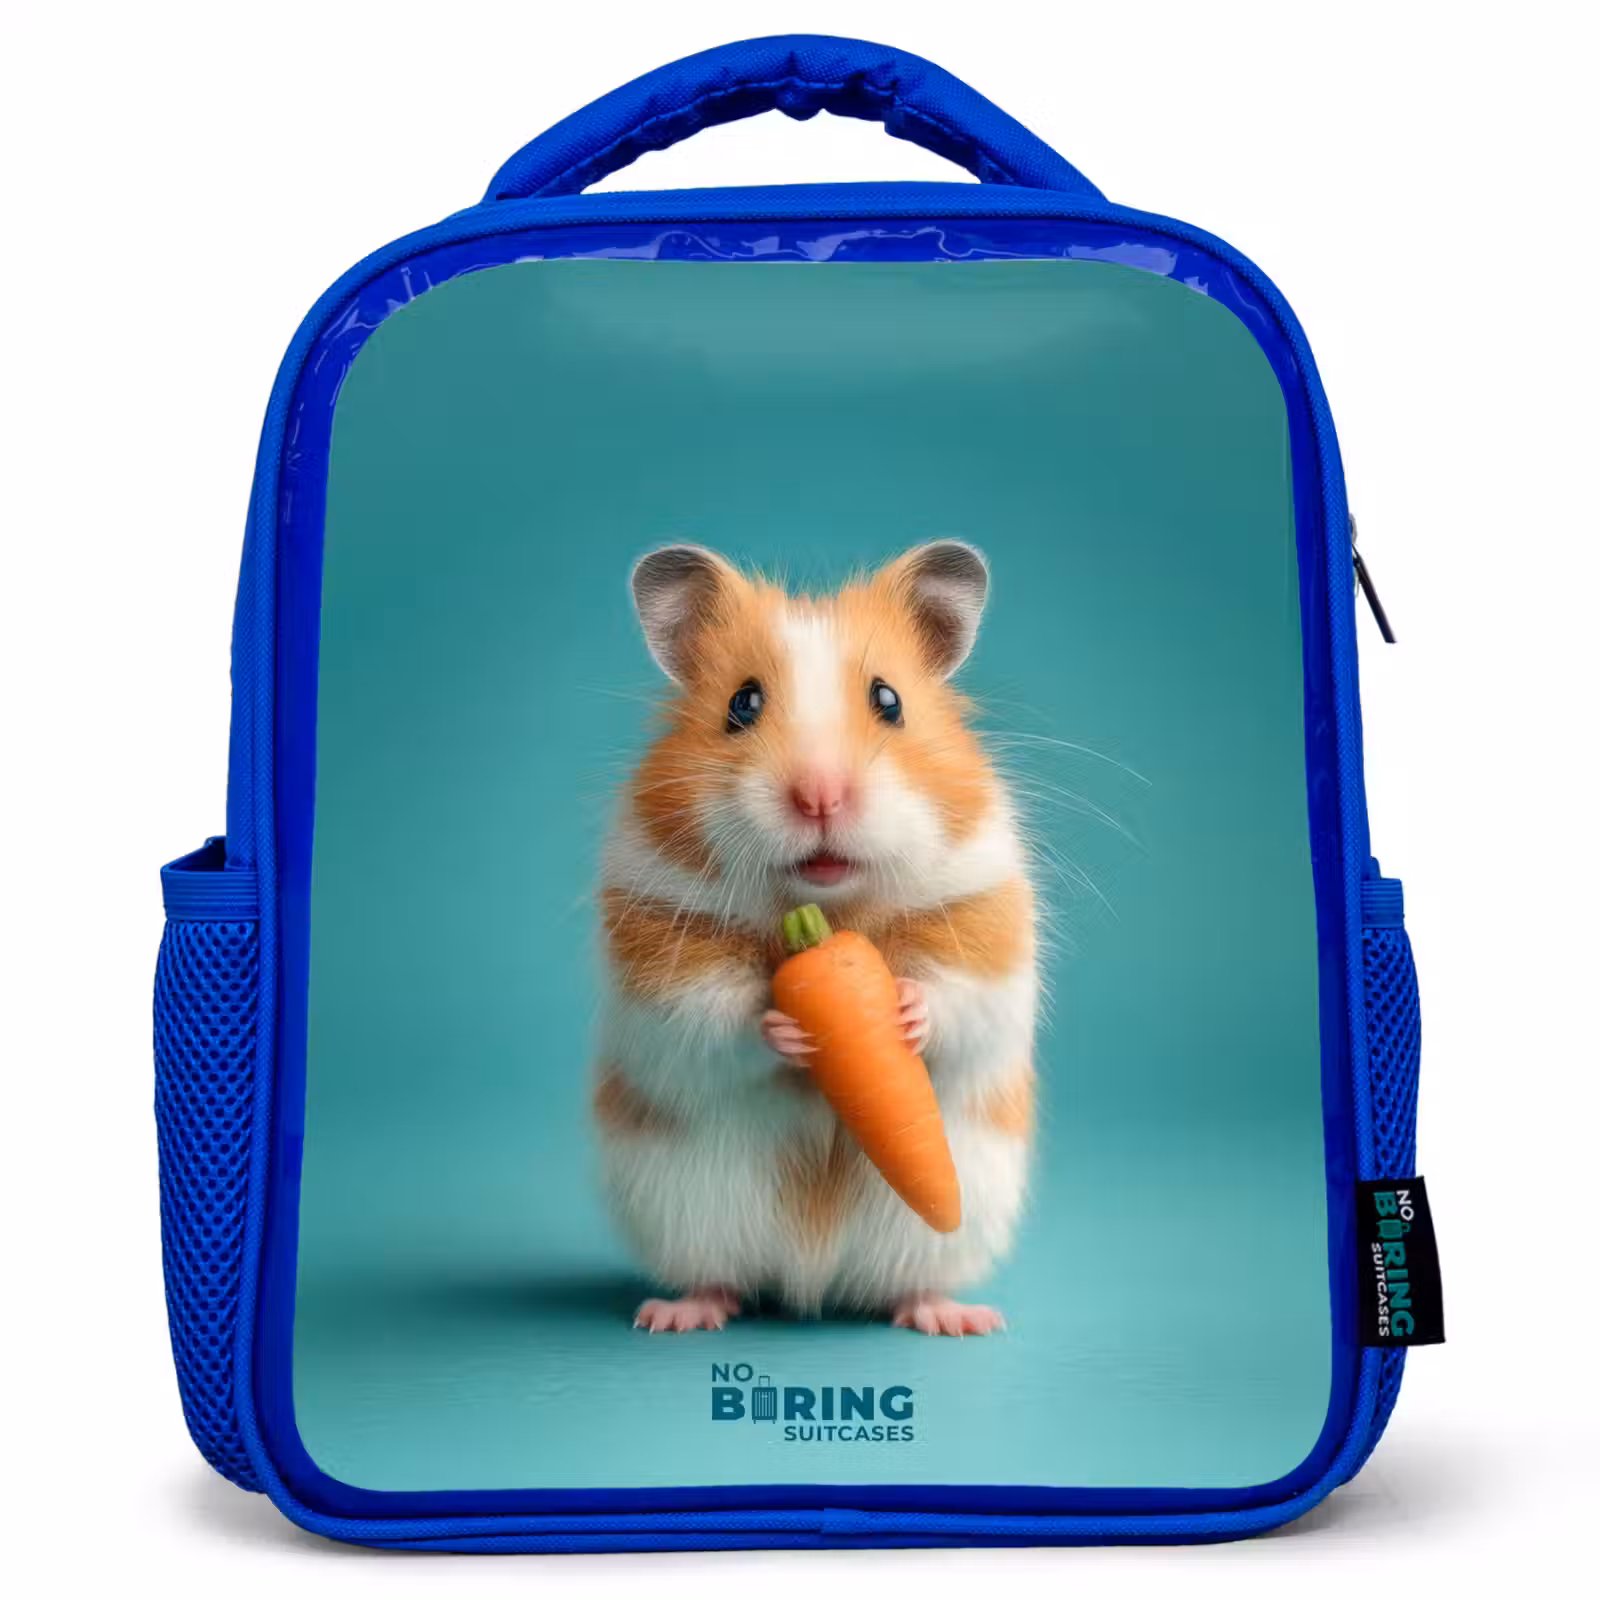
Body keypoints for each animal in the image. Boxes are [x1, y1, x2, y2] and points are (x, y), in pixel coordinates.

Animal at [594, 541, 1038, 1336]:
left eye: (889, 700)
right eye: (741, 704)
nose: (820, 796)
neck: (823, 918)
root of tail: (810, 1282)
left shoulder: (985, 916)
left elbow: (960, 997)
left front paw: (904, 1010)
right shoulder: (658, 939)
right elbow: (713, 1014)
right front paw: (788, 1030)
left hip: (947, 1220)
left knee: (912, 1279)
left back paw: (957, 1318)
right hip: (679, 1209)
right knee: (717, 1275)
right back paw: (676, 1315)